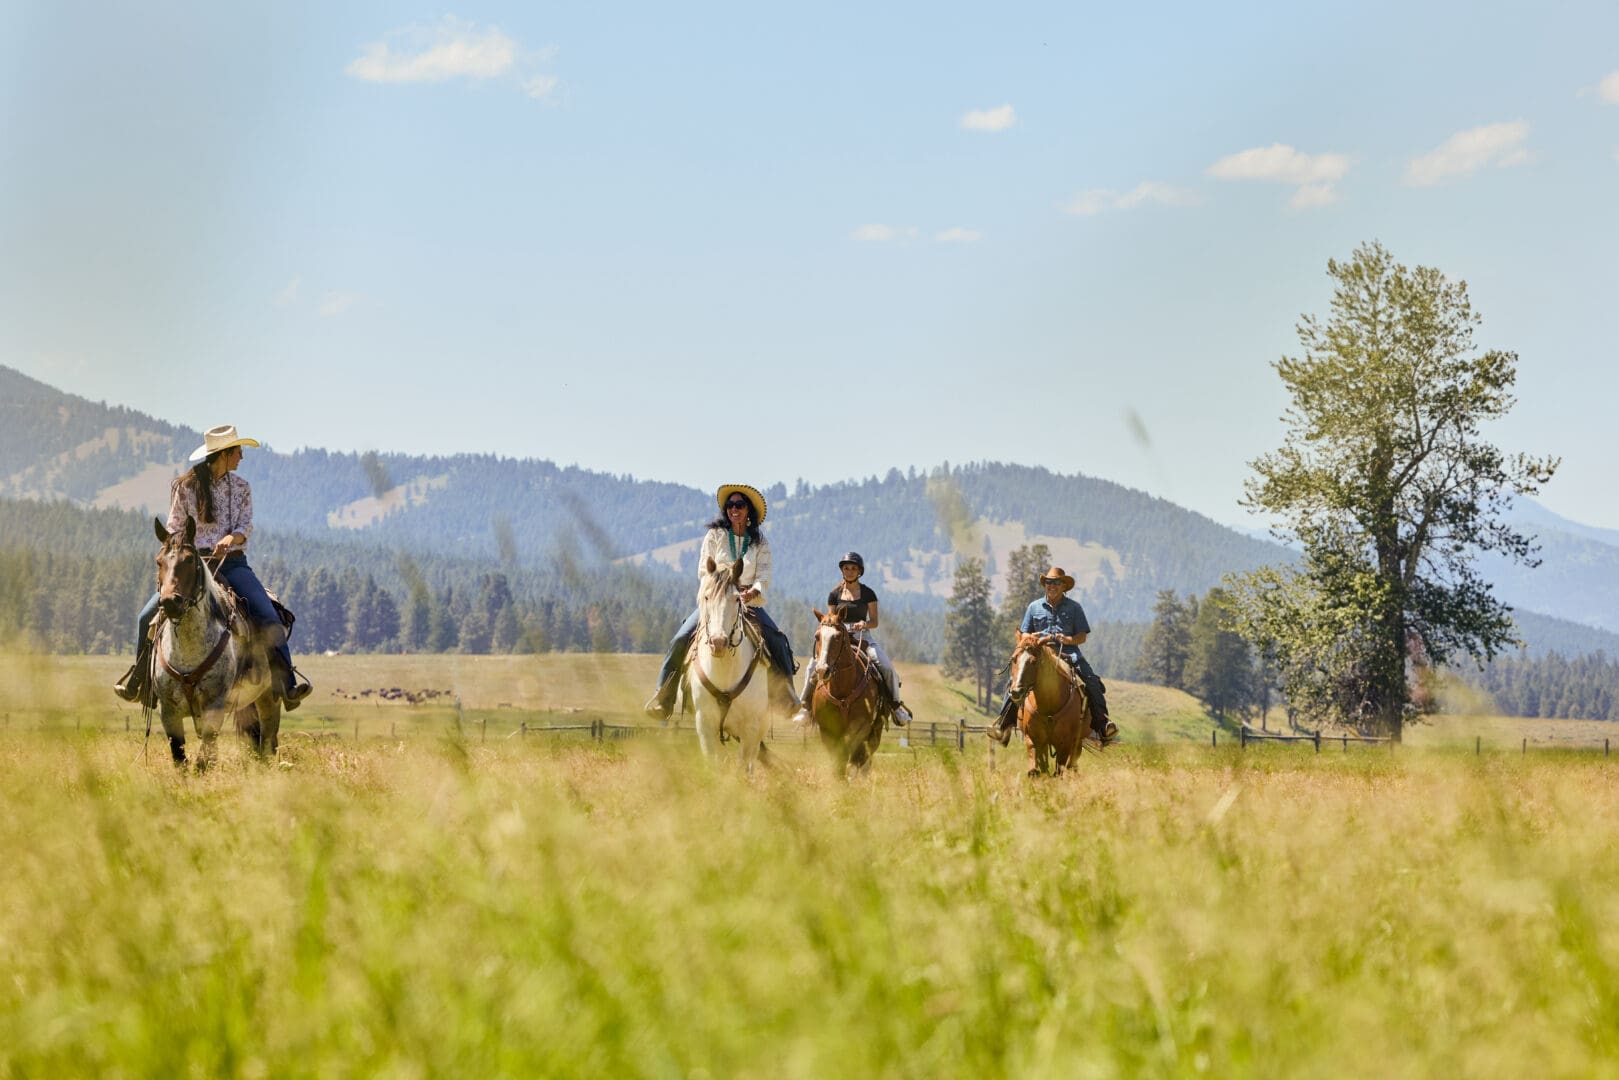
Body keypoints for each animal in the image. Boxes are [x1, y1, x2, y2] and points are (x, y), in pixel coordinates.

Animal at [149, 515, 281, 768]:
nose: (170, 602)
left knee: (268, 741)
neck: (188, 651)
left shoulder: (214, 706)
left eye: (189, 560)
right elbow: (180, 758)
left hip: (269, 698)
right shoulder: (168, 711)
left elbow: (203, 760)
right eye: (159, 562)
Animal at [686, 556, 768, 774]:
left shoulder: (751, 730)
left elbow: (743, 768)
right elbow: (712, 765)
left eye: (737, 599)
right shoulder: (705, 726)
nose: (718, 642)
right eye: (707, 597)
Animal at [807, 606, 885, 778]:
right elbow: (838, 761)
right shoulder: (827, 731)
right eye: (817, 636)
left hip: (875, 729)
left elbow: (853, 759)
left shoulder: (860, 728)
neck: (842, 689)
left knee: (867, 756)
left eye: (837, 636)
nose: (822, 670)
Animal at [1008, 632, 1091, 777]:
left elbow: (1059, 771)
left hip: (1077, 742)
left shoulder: (1065, 744)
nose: (1016, 692)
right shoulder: (1034, 739)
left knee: (1072, 765)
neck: (1048, 705)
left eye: (1034, 661)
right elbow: (1035, 770)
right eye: (1014, 659)